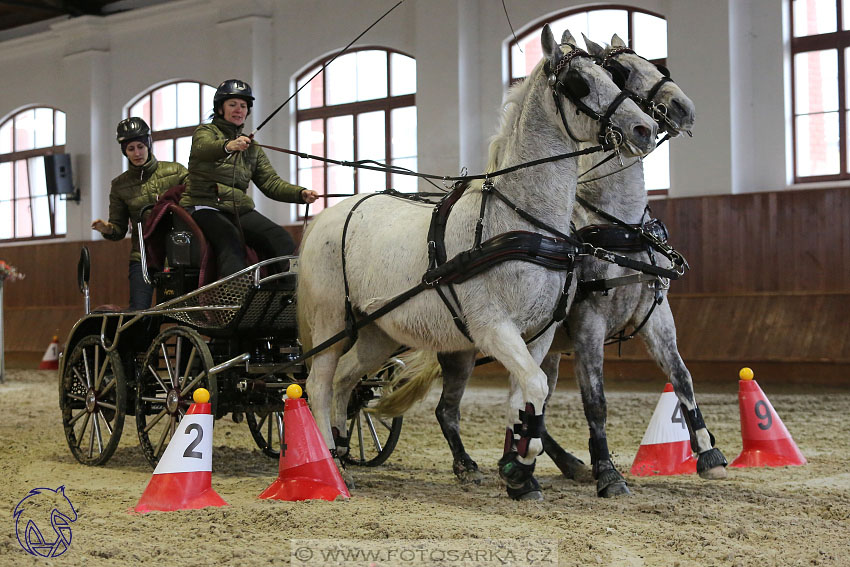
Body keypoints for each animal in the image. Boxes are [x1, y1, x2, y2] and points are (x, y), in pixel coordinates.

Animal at [298, 24, 656, 500]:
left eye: (612, 76)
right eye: (579, 81)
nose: (645, 127)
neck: (520, 221)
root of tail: (329, 213)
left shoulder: (538, 335)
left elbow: (526, 398)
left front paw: (519, 472)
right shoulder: (493, 328)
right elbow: (535, 387)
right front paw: (521, 463)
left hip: (378, 331)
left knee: (345, 381)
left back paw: (341, 453)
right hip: (331, 323)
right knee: (318, 384)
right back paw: (329, 469)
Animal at [374, 33, 724, 500]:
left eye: (654, 64)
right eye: (620, 73)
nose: (680, 108)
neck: (618, 226)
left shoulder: (655, 315)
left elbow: (682, 377)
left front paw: (708, 453)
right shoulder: (589, 323)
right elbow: (595, 400)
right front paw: (607, 473)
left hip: (543, 349)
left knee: (526, 401)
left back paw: (541, 463)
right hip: (464, 350)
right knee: (450, 409)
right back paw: (479, 466)